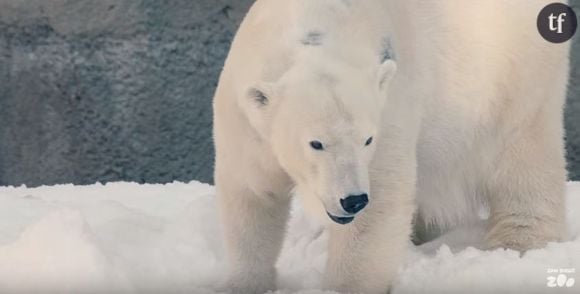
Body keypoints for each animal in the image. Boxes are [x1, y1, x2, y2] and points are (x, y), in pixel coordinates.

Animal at [212, 0, 568, 294]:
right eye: (316, 143)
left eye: (367, 139)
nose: (353, 199)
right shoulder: (245, 124)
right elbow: (251, 197)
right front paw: (242, 284)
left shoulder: (391, 105)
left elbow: (379, 204)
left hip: (511, 72)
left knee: (524, 158)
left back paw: (518, 245)